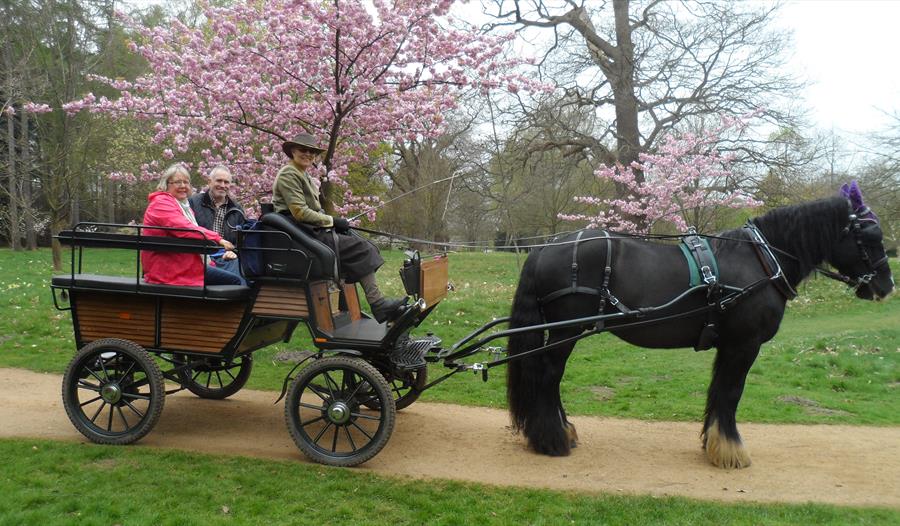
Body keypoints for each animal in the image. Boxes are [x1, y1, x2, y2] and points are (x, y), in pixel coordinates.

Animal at [506, 186, 892, 470]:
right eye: (870, 236)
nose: (886, 286)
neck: (761, 259)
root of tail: (544, 248)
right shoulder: (744, 344)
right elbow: (731, 393)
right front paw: (731, 450)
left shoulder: (729, 346)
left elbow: (719, 391)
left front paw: (715, 444)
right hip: (565, 332)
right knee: (549, 376)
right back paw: (552, 439)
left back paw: (563, 431)